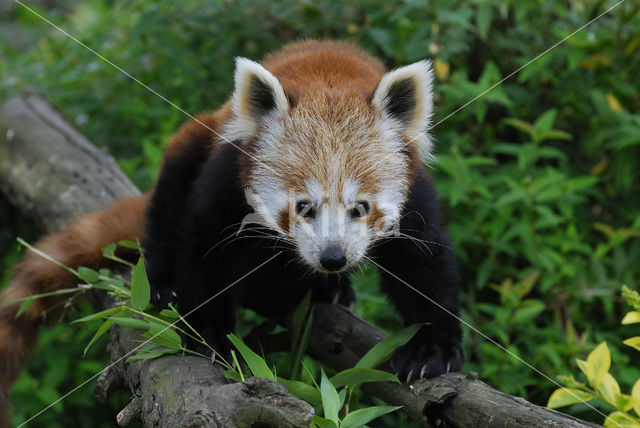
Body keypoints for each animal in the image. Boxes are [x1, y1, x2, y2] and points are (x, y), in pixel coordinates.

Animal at [0, 39, 462, 424]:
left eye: (360, 208)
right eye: (303, 207)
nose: (333, 258)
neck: (329, 76)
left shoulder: (414, 189)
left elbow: (425, 264)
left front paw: (432, 347)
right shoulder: (228, 170)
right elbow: (204, 242)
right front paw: (209, 332)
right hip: (194, 140)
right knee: (168, 203)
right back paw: (164, 284)